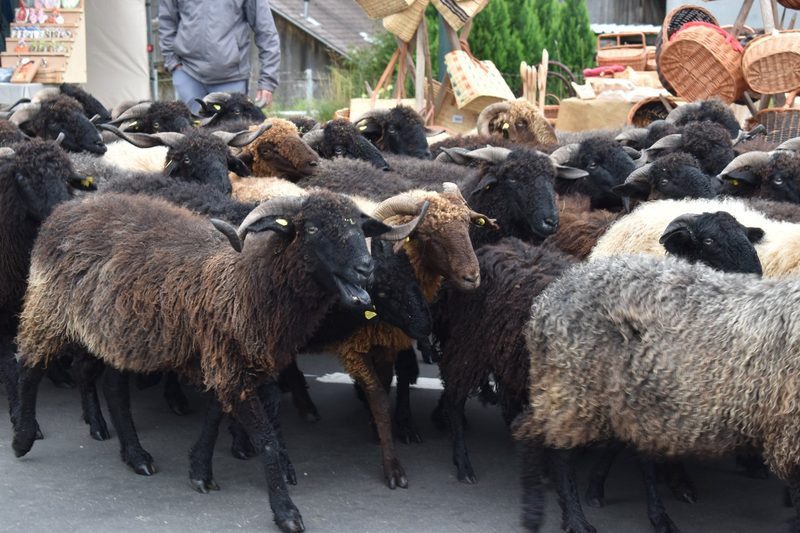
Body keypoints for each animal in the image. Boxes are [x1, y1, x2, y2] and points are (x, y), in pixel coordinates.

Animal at [11, 190, 423, 533]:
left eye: (359, 227)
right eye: (313, 227)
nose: (366, 269)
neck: (247, 284)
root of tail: (66, 208)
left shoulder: (226, 362)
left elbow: (213, 416)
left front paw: (199, 470)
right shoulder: (228, 365)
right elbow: (267, 439)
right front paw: (286, 512)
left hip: (124, 332)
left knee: (113, 388)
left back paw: (136, 455)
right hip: (50, 306)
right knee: (28, 367)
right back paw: (23, 438)